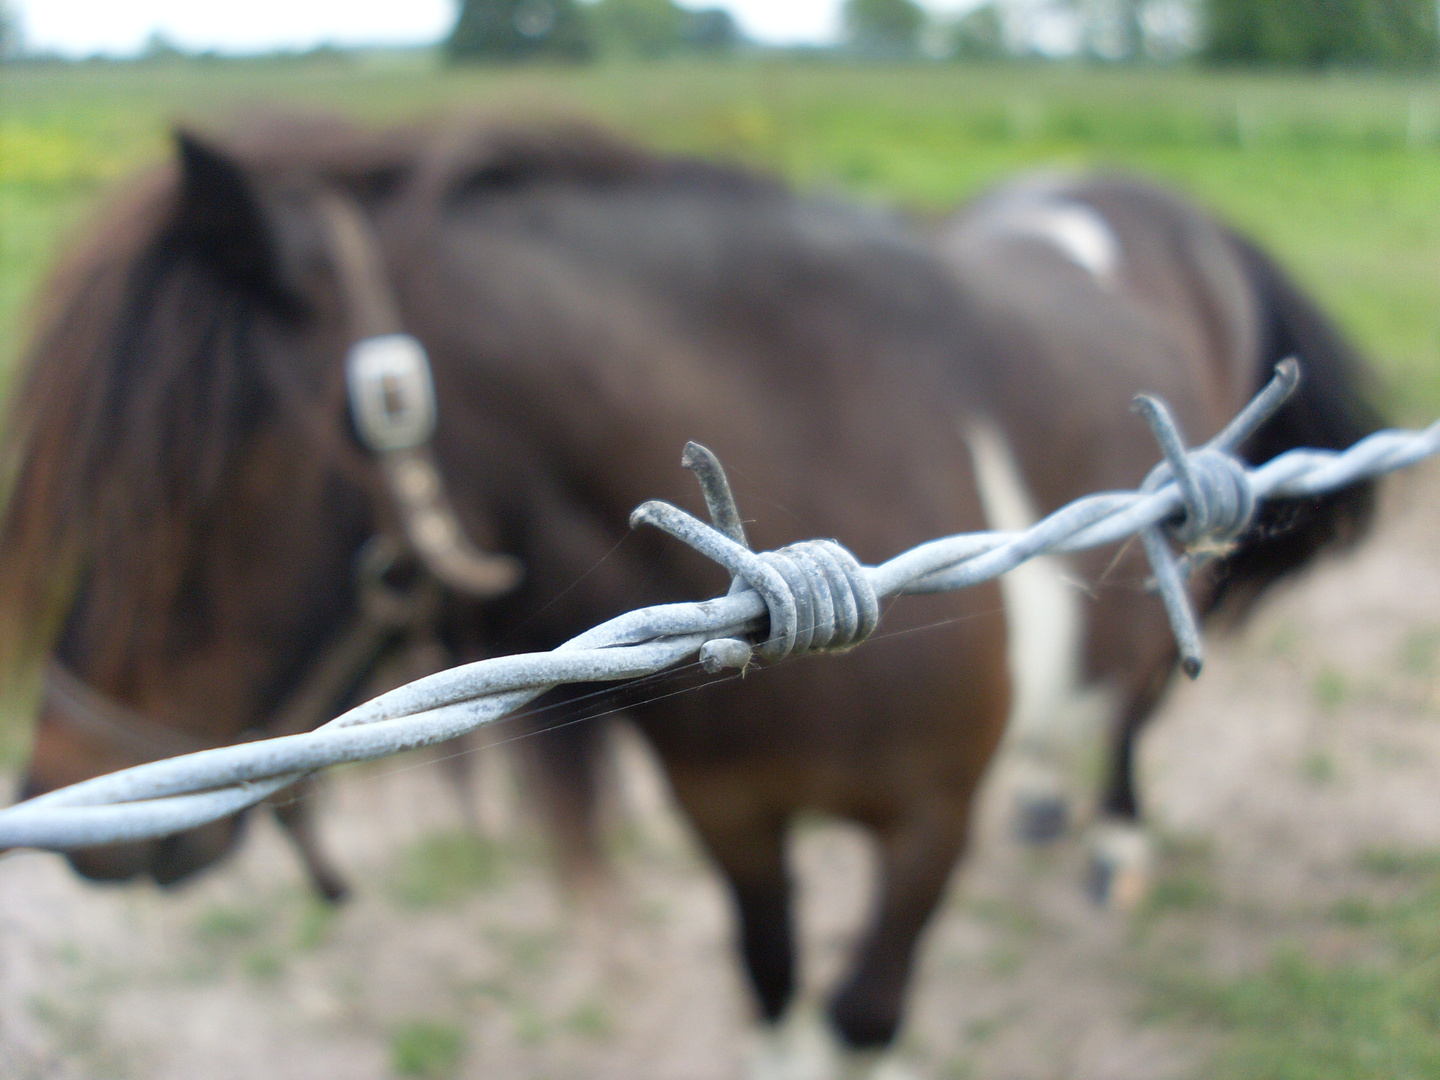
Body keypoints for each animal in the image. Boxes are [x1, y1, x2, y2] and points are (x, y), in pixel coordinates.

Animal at [0, 114, 1376, 1077]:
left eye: (193, 483)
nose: (65, 776)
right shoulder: (730, 817)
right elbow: (771, 990)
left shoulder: (929, 824)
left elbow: (862, 1012)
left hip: (1178, 528)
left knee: (1140, 708)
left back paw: (1113, 841)